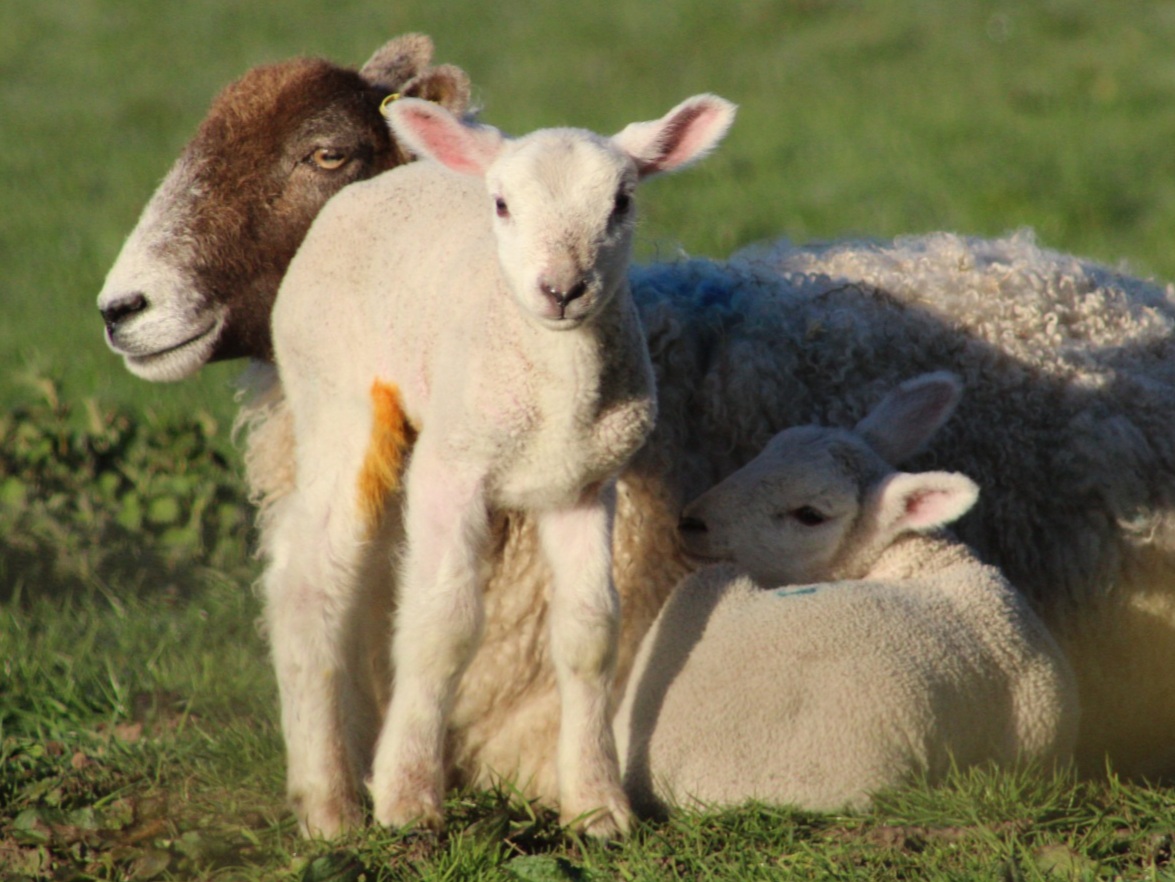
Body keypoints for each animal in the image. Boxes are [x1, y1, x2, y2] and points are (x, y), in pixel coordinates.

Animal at [266, 93, 733, 836]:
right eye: (503, 204)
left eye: (622, 201)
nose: (563, 289)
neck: (556, 395)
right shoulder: (450, 469)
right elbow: (442, 627)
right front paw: (407, 798)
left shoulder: (585, 484)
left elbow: (591, 634)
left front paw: (596, 804)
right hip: (334, 391)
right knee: (309, 582)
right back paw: (328, 804)